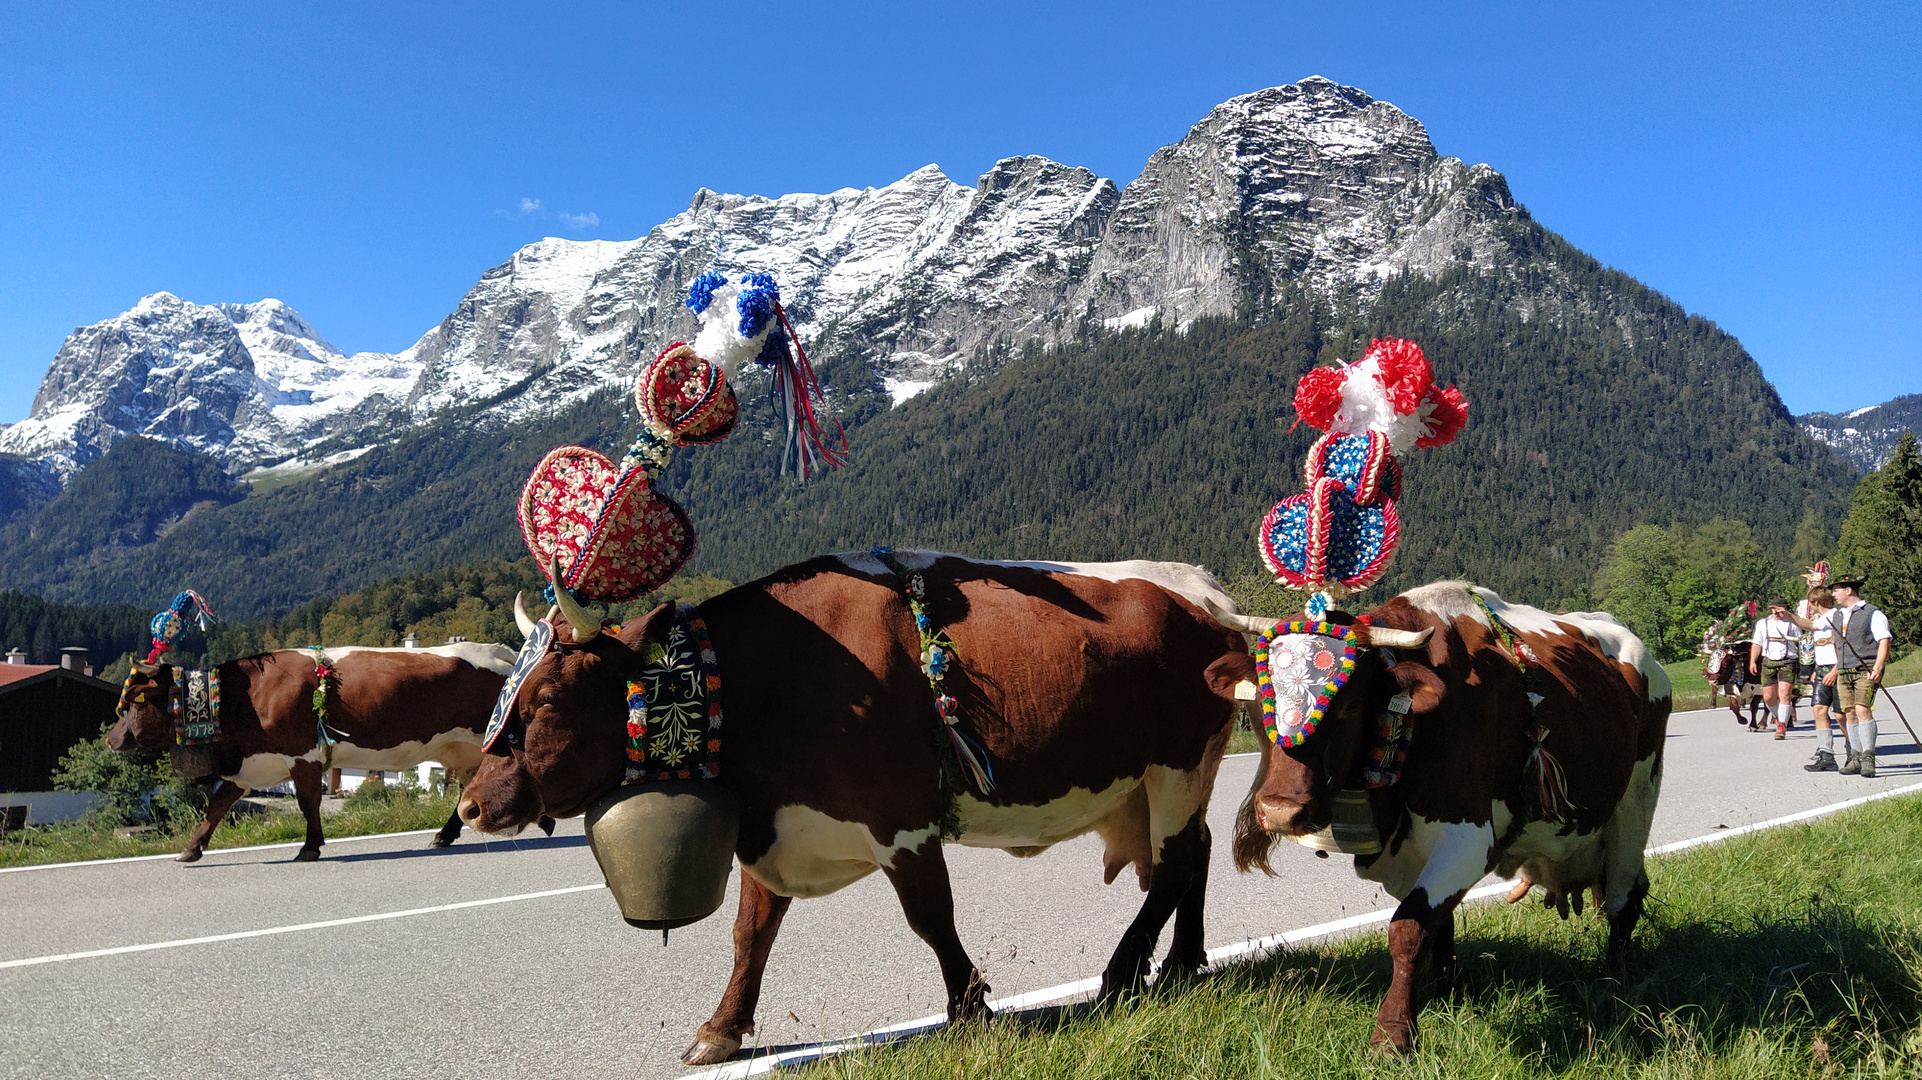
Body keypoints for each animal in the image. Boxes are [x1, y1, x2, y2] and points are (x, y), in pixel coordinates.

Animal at [459, 545, 1253, 1060]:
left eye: (548, 697)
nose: (468, 806)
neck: (762, 681)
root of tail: (1204, 592)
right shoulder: (773, 829)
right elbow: (751, 934)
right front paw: (720, 1029)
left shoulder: (900, 819)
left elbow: (931, 918)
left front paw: (971, 1009)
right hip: (1165, 779)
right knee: (1195, 854)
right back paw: (1183, 961)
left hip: (1178, 766)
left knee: (1176, 863)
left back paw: (1124, 973)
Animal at [1222, 584, 1675, 1045]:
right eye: (1260, 701)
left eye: (1349, 705)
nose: (1280, 811)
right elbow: (1438, 923)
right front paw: (1446, 992)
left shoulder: (1469, 840)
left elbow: (1408, 928)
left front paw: (1393, 1035)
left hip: (1637, 798)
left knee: (1624, 897)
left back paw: (1615, 978)